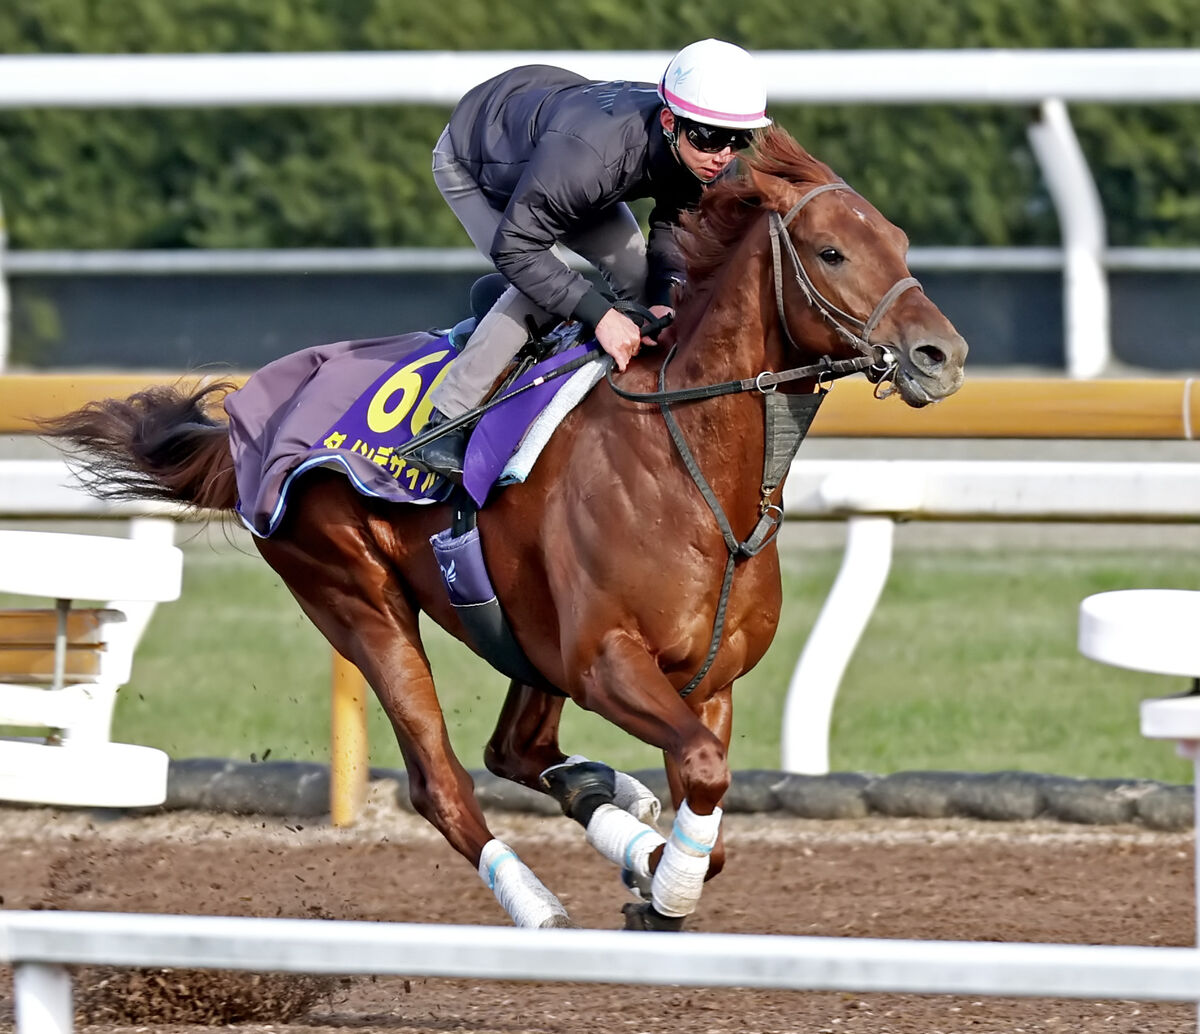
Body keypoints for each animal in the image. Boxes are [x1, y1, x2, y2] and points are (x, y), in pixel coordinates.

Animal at [42, 127, 969, 930]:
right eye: (831, 252)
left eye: (900, 242)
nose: (942, 355)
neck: (691, 463)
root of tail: (249, 420)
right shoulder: (605, 660)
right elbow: (705, 770)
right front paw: (661, 884)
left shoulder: (709, 680)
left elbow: (706, 797)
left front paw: (654, 873)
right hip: (359, 599)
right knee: (444, 780)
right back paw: (538, 901)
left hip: (522, 630)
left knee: (515, 749)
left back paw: (610, 804)